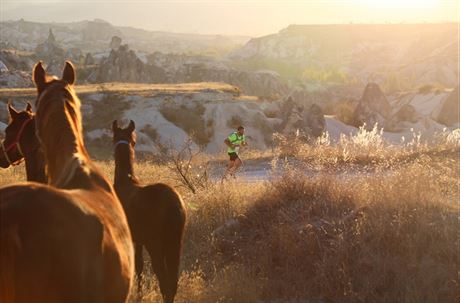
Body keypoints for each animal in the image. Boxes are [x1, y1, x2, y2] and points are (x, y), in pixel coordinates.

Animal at [112, 120, 186, 302]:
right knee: (172, 282)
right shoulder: (138, 240)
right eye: (133, 140)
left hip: (156, 245)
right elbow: (139, 267)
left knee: (164, 282)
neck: (126, 182)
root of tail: (173, 203)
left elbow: (136, 266)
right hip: (175, 244)